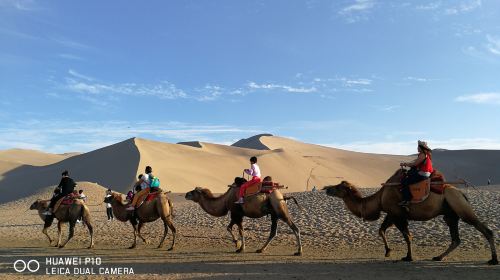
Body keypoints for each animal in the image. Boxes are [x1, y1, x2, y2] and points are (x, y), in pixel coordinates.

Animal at [322, 168, 498, 264]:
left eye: (338, 187)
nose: (326, 188)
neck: (379, 199)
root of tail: (461, 193)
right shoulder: (392, 214)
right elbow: (381, 230)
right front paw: (388, 251)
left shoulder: (397, 214)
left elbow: (407, 236)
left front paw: (408, 257)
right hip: (450, 214)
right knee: (456, 239)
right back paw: (438, 257)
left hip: (459, 207)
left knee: (485, 229)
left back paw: (493, 260)